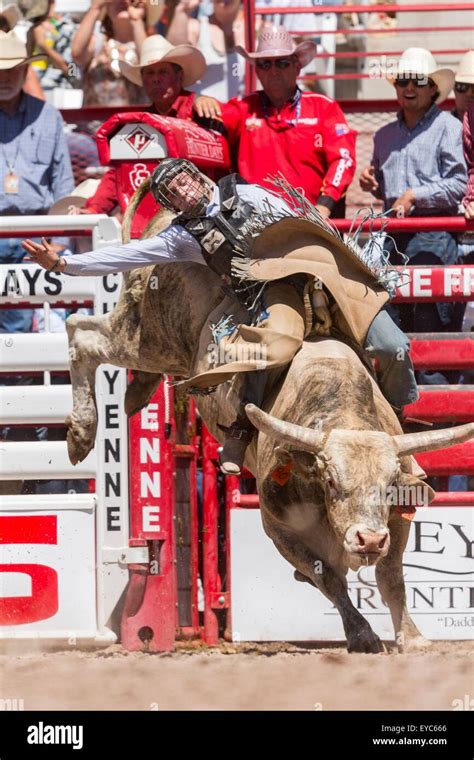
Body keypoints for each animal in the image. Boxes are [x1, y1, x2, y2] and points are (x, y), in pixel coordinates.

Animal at [64, 189, 474, 652]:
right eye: (332, 481)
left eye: (388, 484)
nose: (368, 539)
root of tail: (163, 223)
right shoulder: (276, 526)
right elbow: (327, 577)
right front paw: (363, 635)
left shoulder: (396, 521)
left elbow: (391, 578)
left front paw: (412, 637)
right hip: (146, 332)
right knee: (82, 333)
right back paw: (81, 433)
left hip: (159, 346)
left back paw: (133, 396)